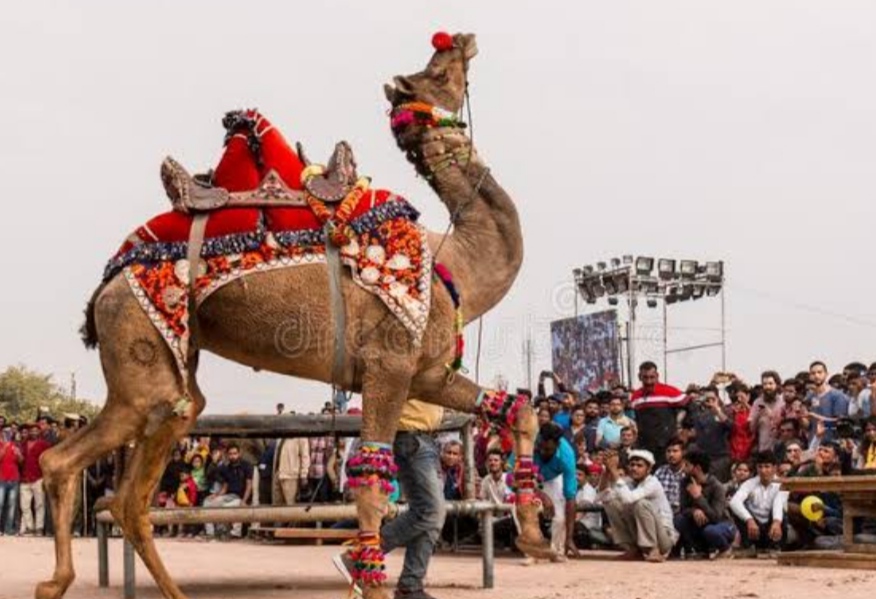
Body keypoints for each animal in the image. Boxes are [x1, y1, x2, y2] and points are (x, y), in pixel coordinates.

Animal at [37, 31, 552, 599]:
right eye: (437, 73)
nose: (462, 39)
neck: (454, 261)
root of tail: (103, 288)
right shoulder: (389, 364)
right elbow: (371, 482)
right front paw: (371, 582)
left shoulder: (427, 373)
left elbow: (517, 409)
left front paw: (534, 538)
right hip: (139, 346)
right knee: (65, 460)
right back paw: (54, 582)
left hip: (173, 378)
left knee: (133, 491)